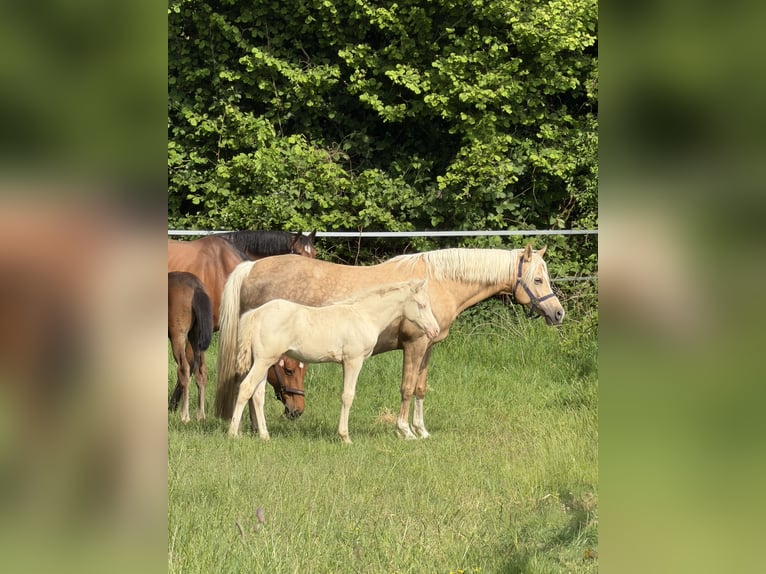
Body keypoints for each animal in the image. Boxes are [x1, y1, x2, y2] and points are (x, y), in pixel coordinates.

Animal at [168, 272, 213, 422]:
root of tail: (196, 288)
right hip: (196, 338)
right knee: (201, 371)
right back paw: (200, 415)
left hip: (178, 337)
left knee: (184, 369)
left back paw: (184, 416)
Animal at [230, 280, 440, 443]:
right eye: (422, 305)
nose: (435, 330)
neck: (364, 315)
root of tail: (256, 314)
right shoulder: (353, 361)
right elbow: (348, 396)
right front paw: (345, 437)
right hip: (264, 361)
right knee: (246, 388)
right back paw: (233, 434)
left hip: (265, 363)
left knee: (258, 394)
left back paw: (265, 436)